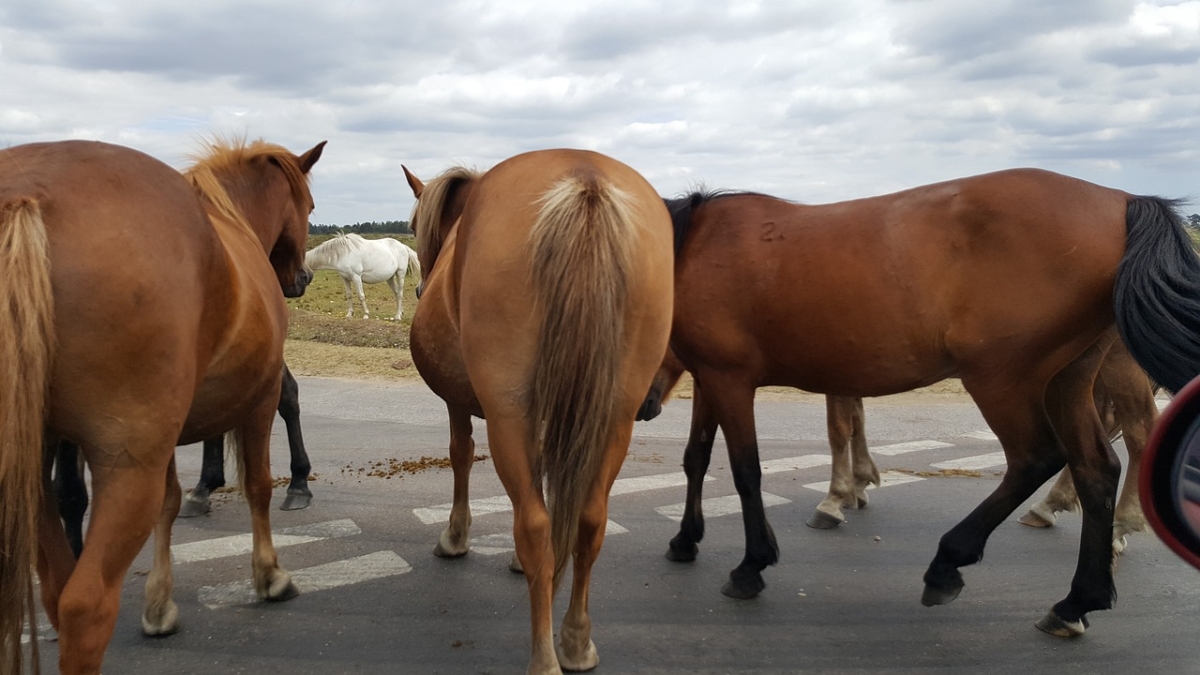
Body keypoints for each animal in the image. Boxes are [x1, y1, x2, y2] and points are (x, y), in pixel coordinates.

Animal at [403, 149, 673, 675]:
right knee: (589, 521)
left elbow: (461, 454)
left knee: (533, 524)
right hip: (614, 418)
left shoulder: (460, 405)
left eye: (412, 225)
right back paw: (575, 641)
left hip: (510, 417)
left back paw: (545, 656)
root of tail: (585, 182)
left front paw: (456, 536)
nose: (423, 287)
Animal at [655, 174, 1200, 638]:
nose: (645, 408)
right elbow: (696, 458)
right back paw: (1075, 601)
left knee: (1035, 459)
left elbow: (746, 472)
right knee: (1095, 469)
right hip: (1066, 381)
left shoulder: (729, 380)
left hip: (1001, 380)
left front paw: (751, 565)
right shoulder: (709, 379)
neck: (695, 247)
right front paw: (685, 540)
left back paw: (948, 563)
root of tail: (1122, 199)